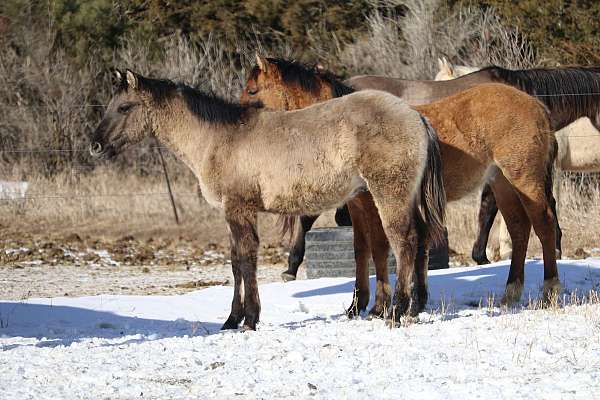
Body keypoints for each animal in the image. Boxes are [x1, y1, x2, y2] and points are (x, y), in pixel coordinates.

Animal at [90, 69, 446, 330]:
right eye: (108, 106)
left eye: (124, 107)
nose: (95, 145)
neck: (220, 139)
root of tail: (416, 117)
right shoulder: (232, 214)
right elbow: (235, 262)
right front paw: (232, 319)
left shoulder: (240, 209)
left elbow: (246, 260)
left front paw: (248, 319)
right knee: (418, 240)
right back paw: (412, 307)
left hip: (389, 194)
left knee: (404, 241)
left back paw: (398, 311)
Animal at [241, 57, 560, 312]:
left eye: (252, 90)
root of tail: (537, 105)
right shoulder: (358, 206)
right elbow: (361, 249)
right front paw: (359, 306)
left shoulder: (375, 202)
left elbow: (380, 247)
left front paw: (381, 306)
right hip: (502, 183)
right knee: (519, 229)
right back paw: (510, 294)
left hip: (525, 180)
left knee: (544, 226)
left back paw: (549, 292)